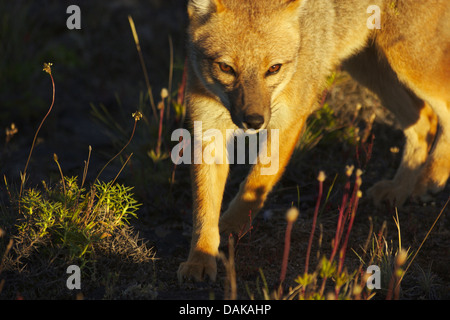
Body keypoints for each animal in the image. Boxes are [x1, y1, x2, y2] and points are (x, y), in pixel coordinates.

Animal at [178, 0, 450, 282]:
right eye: (226, 68)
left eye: (274, 68)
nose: (254, 121)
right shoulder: (207, 128)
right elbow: (204, 208)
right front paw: (200, 258)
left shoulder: (289, 120)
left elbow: (255, 183)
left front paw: (232, 226)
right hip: (370, 67)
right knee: (424, 121)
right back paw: (400, 189)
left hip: (408, 61)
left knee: (442, 109)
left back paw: (432, 176)